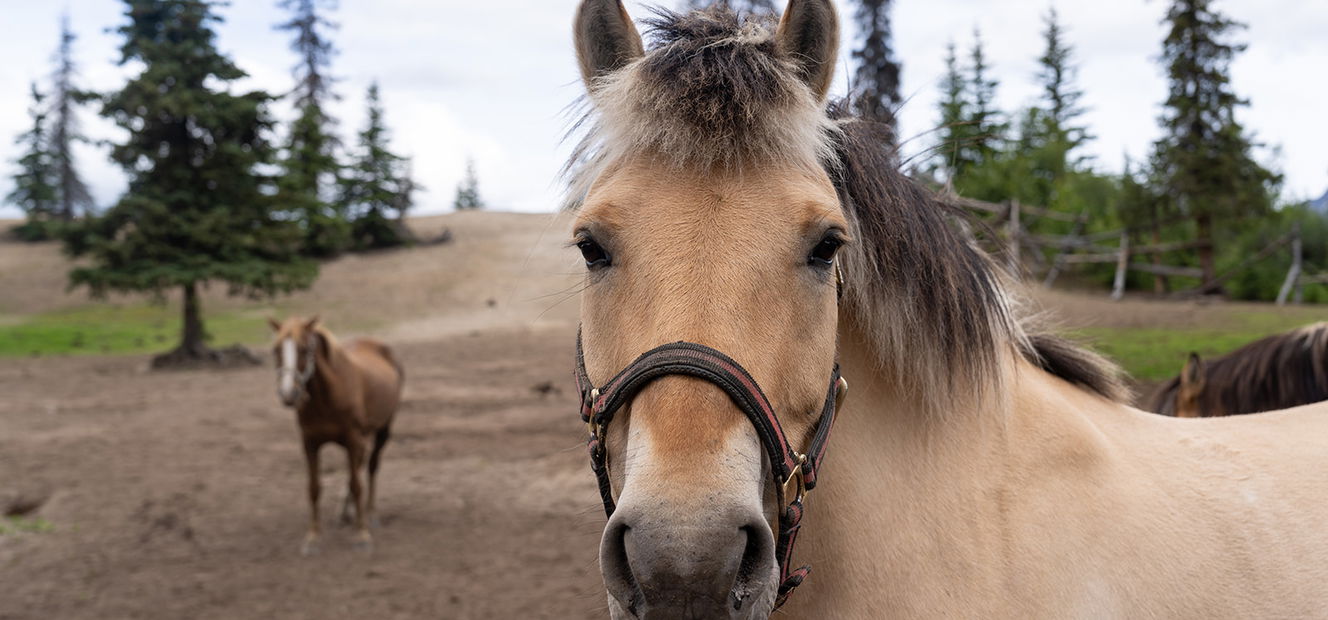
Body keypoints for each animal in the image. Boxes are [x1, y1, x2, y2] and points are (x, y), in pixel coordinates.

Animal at [268, 316, 404, 555]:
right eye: (276, 349)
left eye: (304, 349)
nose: (288, 394)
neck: (329, 396)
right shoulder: (310, 443)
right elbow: (314, 487)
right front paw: (312, 538)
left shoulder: (353, 440)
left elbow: (358, 486)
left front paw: (362, 535)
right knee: (357, 468)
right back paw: (345, 512)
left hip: (382, 431)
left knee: (371, 467)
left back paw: (371, 513)